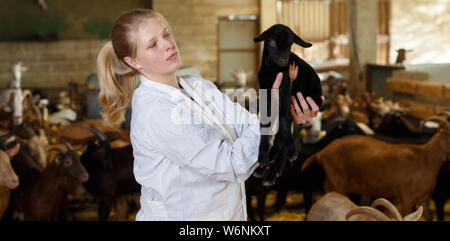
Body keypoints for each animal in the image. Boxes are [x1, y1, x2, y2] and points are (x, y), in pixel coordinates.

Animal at [302, 116, 450, 220]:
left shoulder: (423, 198)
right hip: (339, 182)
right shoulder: (407, 197)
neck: (426, 158)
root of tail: (322, 151)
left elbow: (429, 217)